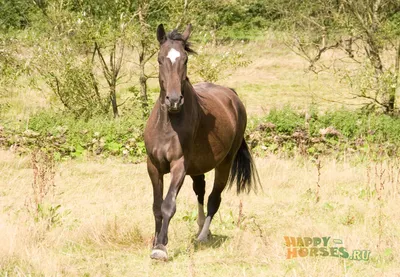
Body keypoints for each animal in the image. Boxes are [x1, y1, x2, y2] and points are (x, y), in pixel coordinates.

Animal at [144, 23, 260, 258]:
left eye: (185, 59)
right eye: (160, 59)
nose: (174, 100)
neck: (168, 123)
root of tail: (232, 96)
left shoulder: (179, 166)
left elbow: (168, 205)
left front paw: (161, 248)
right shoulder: (153, 166)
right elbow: (156, 206)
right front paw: (155, 242)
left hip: (224, 163)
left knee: (214, 199)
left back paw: (203, 236)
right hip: (197, 168)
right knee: (200, 191)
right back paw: (198, 228)